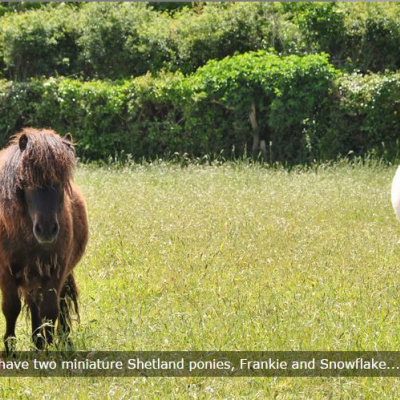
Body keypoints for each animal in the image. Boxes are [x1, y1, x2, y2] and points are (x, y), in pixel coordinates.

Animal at [0, 129, 88, 354]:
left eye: (61, 183)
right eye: (26, 181)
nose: (47, 229)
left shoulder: (54, 273)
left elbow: (50, 313)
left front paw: (47, 350)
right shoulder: (6, 274)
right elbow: (11, 309)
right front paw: (10, 349)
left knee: (61, 303)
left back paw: (62, 340)